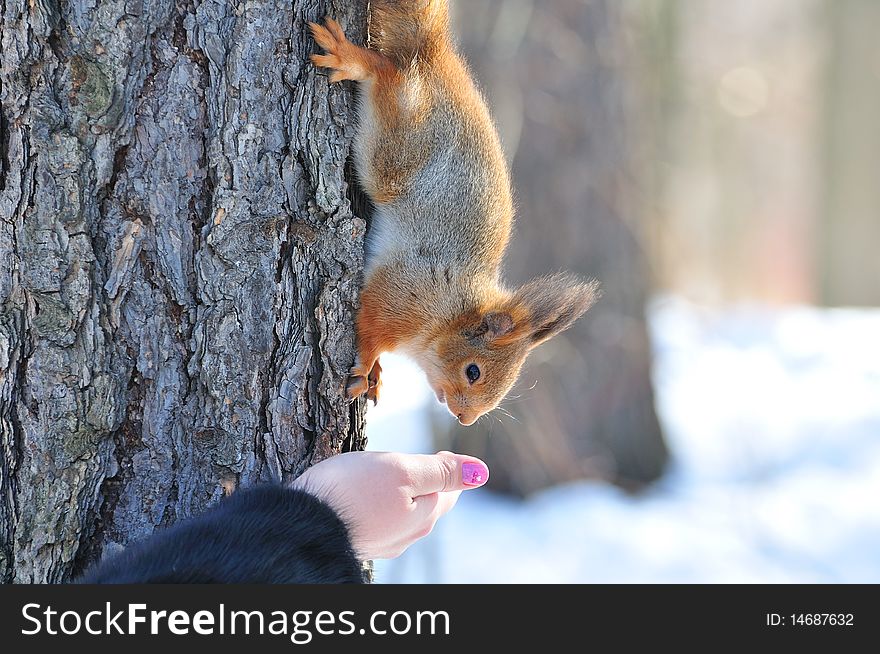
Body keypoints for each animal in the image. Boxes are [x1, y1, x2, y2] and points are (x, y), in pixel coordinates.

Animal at [310, 0, 600, 428]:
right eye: (473, 371)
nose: (465, 419)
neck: (451, 310)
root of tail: (439, 56)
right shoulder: (402, 295)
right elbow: (370, 331)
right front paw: (367, 366)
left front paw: (375, 374)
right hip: (399, 141)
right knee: (388, 74)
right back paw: (352, 58)